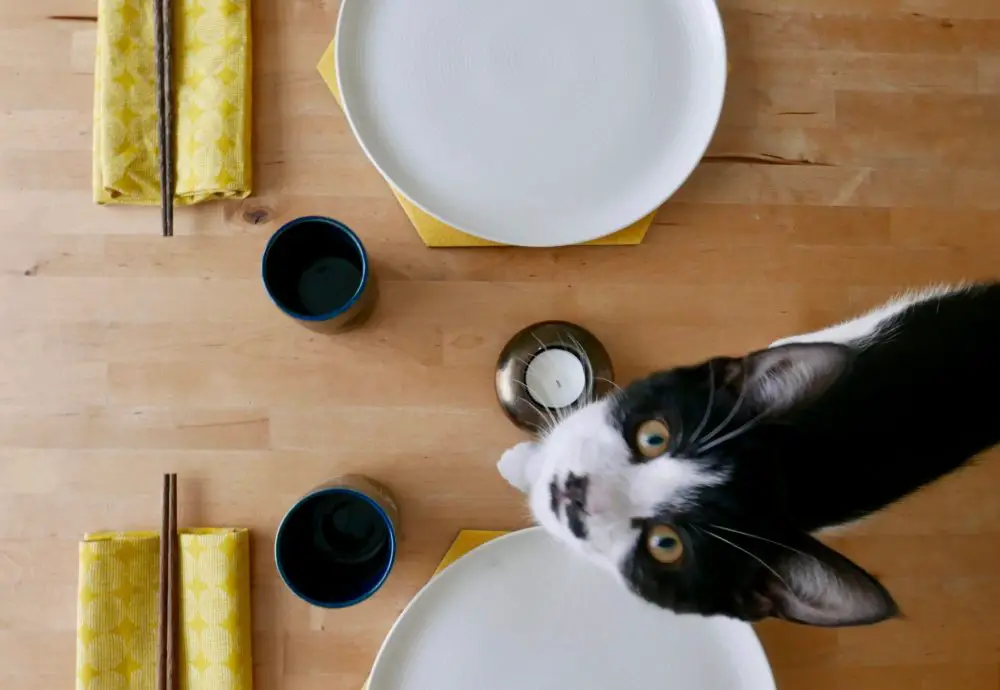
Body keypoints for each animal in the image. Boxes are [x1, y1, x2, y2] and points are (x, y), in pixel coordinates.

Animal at [500, 282, 1000, 628]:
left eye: (666, 545)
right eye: (654, 437)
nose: (577, 491)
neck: (793, 464)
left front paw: (523, 465)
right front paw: (527, 461)